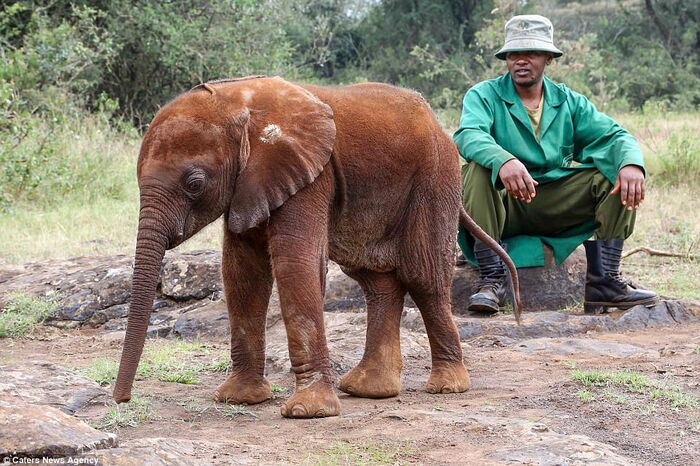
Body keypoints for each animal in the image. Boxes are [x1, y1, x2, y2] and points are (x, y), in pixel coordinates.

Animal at [113, 76, 520, 418]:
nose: (121, 400)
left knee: (423, 277)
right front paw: (239, 399)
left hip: (436, 178)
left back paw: (447, 387)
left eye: (194, 184)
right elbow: (241, 272)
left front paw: (307, 412)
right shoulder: (250, 184)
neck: (238, 102)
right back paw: (369, 389)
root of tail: (437, 124)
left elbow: (295, 264)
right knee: (376, 281)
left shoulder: (309, 174)